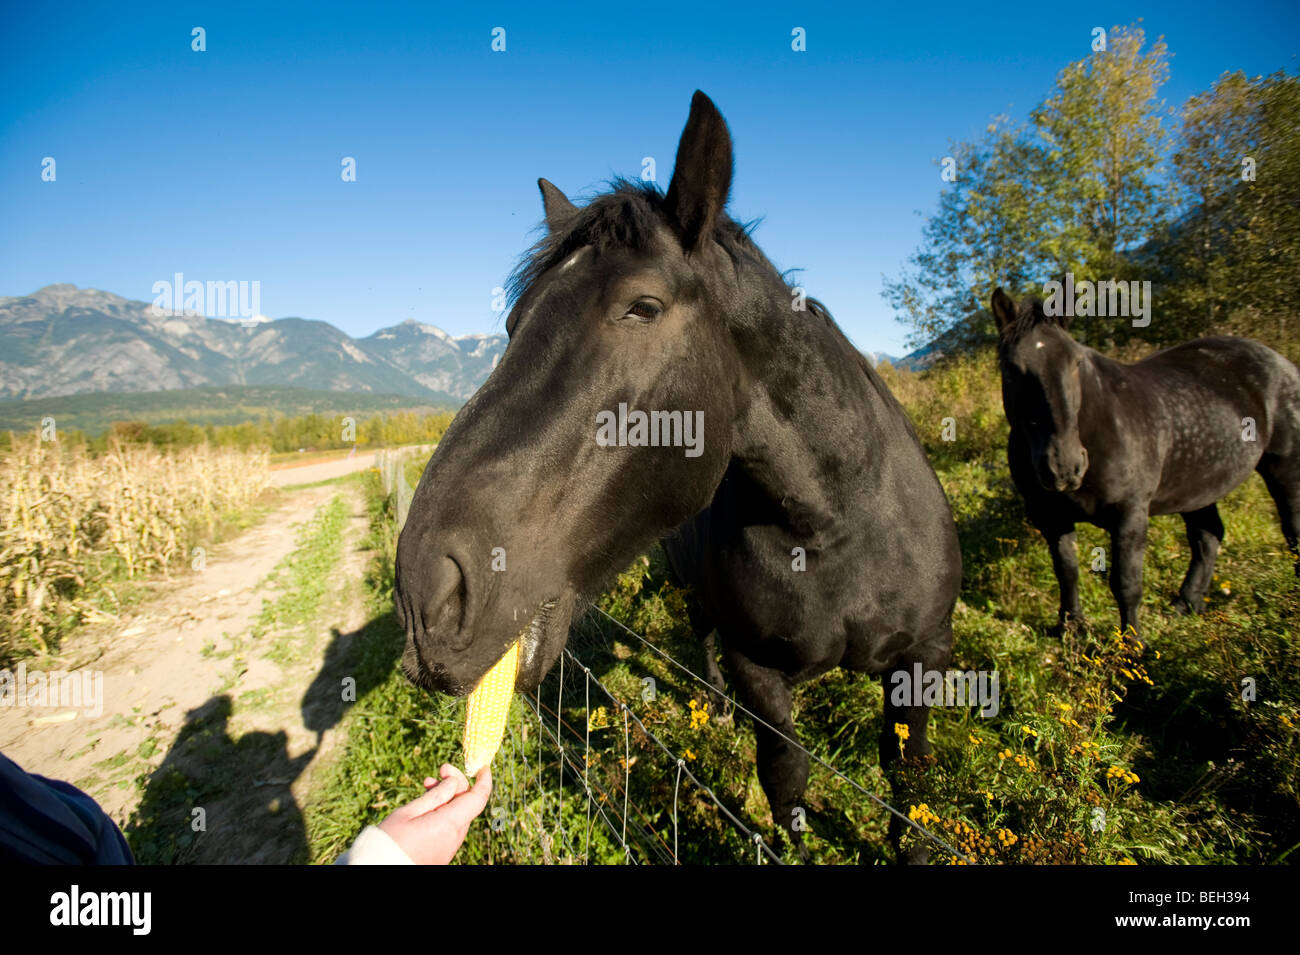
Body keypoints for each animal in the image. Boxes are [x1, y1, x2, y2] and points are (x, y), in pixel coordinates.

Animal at [394, 90, 962, 862]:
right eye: (514, 322)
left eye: (643, 306)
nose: (425, 593)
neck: (839, 525)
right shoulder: (760, 670)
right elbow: (785, 775)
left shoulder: (924, 658)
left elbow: (909, 781)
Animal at [990, 287, 1300, 639]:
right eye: (1011, 369)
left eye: (1076, 362)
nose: (1064, 466)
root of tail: (1280, 361)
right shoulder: (1050, 516)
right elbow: (1066, 571)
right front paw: (1071, 626)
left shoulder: (1130, 513)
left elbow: (1126, 583)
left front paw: (1132, 642)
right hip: (1197, 486)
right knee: (1208, 537)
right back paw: (1187, 604)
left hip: (1285, 468)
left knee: (1291, 531)